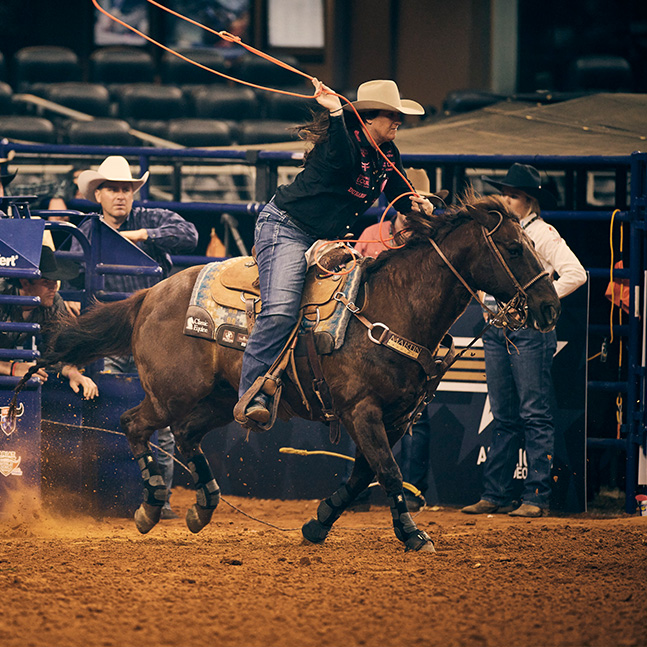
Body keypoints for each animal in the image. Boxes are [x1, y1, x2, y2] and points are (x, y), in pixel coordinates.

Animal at [15, 192, 560, 552]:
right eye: (514, 248)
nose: (550, 307)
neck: (392, 306)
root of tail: (152, 293)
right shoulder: (362, 411)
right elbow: (387, 470)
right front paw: (412, 534)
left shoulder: (395, 418)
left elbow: (365, 473)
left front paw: (318, 522)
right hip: (173, 393)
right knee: (136, 425)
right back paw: (151, 506)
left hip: (221, 400)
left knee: (186, 437)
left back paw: (202, 505)